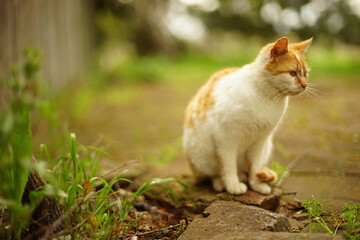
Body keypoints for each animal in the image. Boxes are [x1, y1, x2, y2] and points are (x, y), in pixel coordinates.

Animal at [183, 37, 312, 195]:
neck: (267, 97)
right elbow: (228, 166)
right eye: (292, 73)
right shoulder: (225, 139)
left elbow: (255, 166)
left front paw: (256, 184)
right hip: (201, 155)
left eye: (305, 74)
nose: (304, 85)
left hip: (266, 147)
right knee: (213, 174)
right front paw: (232, 185)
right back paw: (222, 183)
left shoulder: (260, 141)